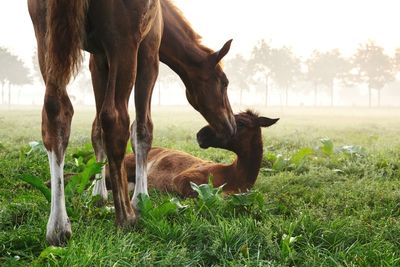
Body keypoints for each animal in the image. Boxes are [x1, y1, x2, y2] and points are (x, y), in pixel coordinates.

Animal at [29, 0, 236, 247]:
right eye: (224, 82)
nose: (231, 126)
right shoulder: (148, 52)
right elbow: (142, 129)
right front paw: (140, 198)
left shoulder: (98, 59)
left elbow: (96, 130)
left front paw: (98, 193)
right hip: (123, 44)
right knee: (115, 119)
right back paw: (126, 217)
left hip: (46, 37)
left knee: (56, 113)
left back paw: (58, 227)